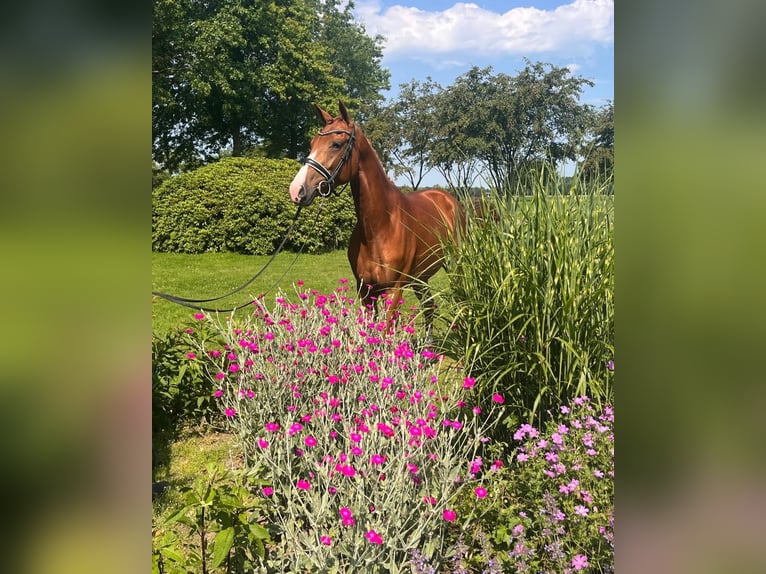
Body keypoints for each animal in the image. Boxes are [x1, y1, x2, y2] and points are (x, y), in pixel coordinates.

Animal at [289, 101, 465, 333]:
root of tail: (448, 199)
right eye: (312, 143)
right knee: (429, 307)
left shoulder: (394, 290)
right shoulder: (365, 291)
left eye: (336, 144)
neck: (379, 227)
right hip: (421, 276)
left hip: (455, 265)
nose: (297, 190)